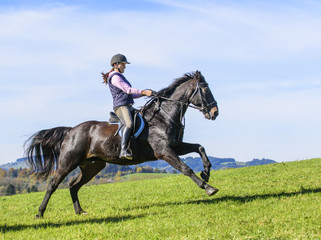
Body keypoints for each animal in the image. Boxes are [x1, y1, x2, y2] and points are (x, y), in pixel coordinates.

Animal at [25, 70, 219, 218]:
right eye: (205, 89)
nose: (215, 112)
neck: (163, 117)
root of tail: (71, 130)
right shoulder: (164, 151)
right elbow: (186, 169)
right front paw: (208, 188)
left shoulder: (176, 146)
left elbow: (200, 147)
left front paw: (206, 173)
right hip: (68, 162)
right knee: (53, 184)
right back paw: (40, 213)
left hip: (92, 166)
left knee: (74, 186)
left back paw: (80, 212)